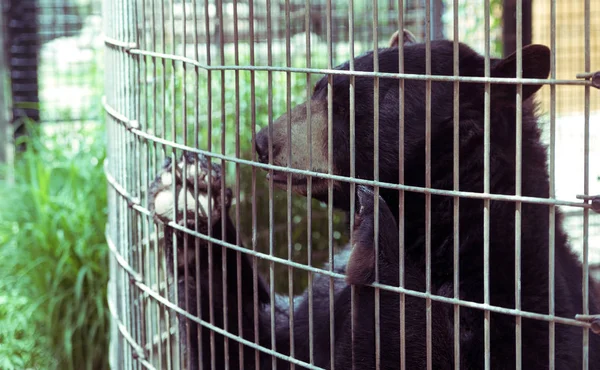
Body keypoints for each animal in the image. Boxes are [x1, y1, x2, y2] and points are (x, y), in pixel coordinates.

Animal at [146, 30, 600, 368]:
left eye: (349, 104)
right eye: (319, 87)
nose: (261, 143)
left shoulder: (510, 294)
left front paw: (379, 247)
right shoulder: (326, 297)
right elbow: (256, 342)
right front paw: (191, 194)